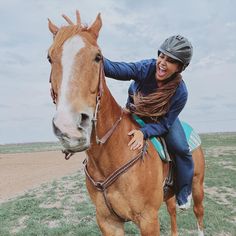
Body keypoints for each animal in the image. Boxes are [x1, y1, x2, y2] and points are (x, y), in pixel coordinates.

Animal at [47, 11, 205, 236]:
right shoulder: (107, 221)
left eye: (98, 57)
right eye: (49, 57)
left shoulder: (148, 220)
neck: (110, 156)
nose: (69, 128)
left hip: (197, 186)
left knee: (198, 213)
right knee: (172, 211)